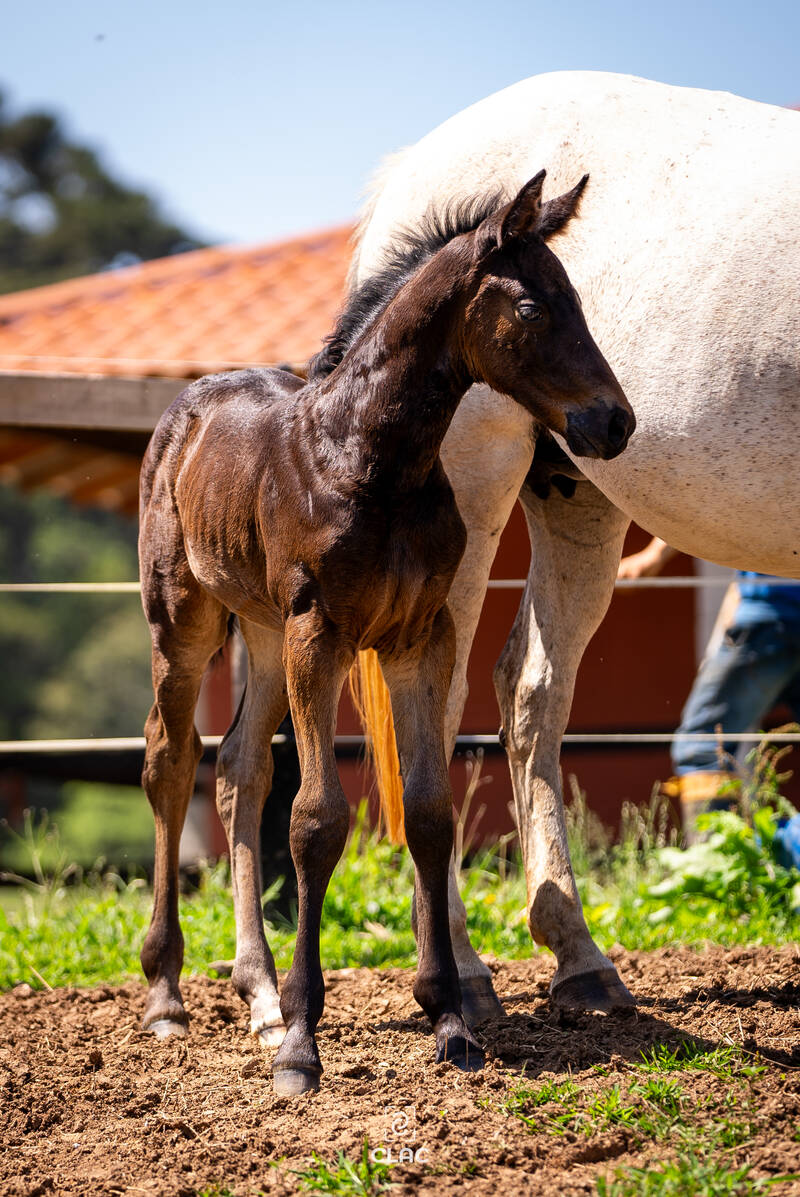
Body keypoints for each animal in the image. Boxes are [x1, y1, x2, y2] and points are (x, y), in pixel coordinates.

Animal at [138, 168, 637, 1096]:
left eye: (580, 301)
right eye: (531, 307)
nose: (615, 423)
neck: (372, 457)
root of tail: (188, 403)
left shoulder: (417, 638)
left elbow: (430, 811)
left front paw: (450, 1017)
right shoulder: (322, 635)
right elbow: (317, 819)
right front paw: (304, 1046)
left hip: (263, 630)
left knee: (239, 768)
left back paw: (260, 992)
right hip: (184, 620)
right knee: (170, 763)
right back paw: (167, 994)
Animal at [349, 70, 800, 1015]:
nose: (620, 417)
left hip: (576, 495)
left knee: (531, 693)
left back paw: (579, 955)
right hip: (473, 500)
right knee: (434, 707)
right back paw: (463, 969)